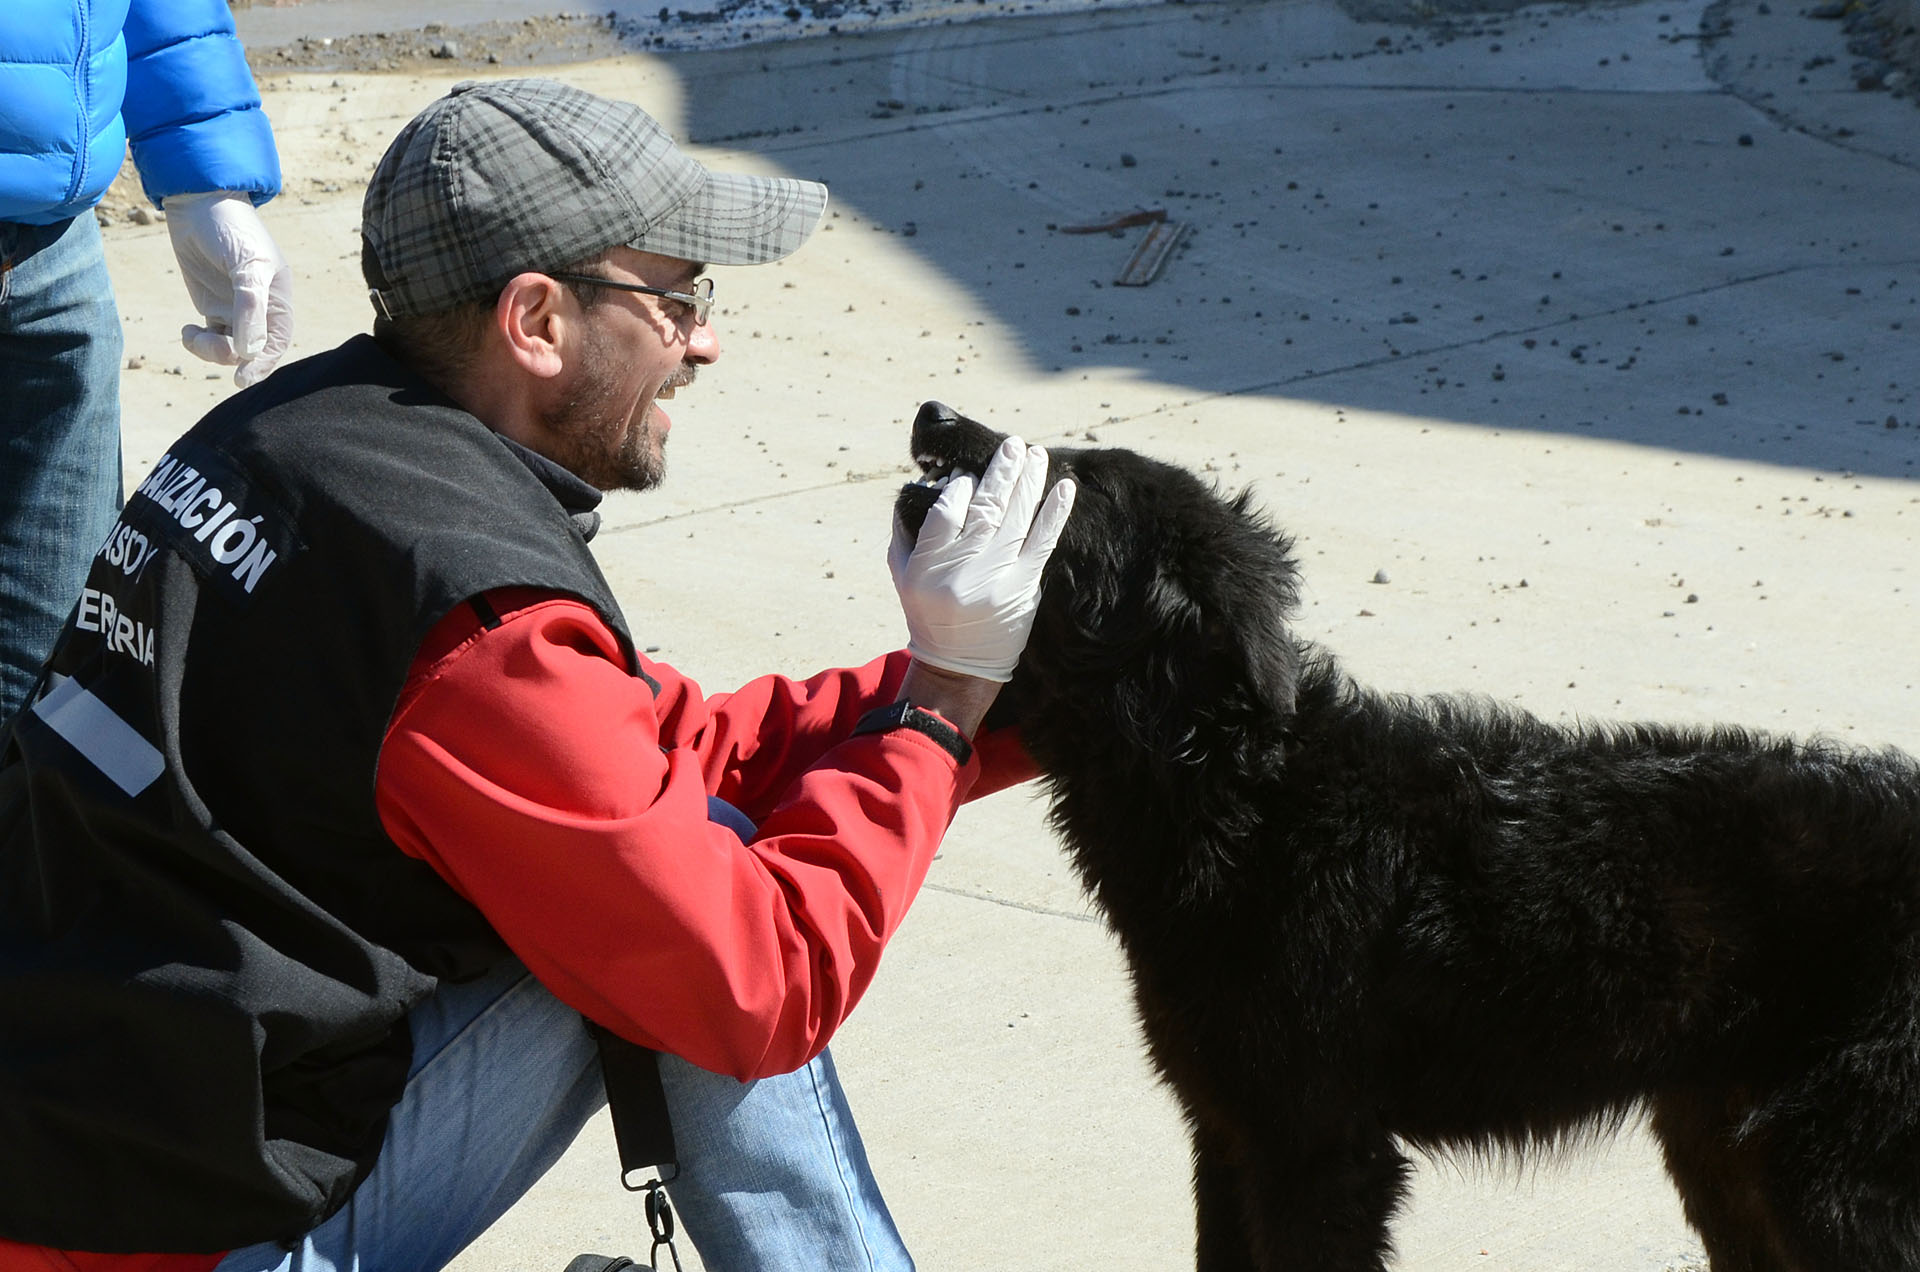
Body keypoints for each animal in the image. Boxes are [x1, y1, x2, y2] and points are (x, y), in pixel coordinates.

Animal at [902, 401, 1920, 1272]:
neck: (1241, 793)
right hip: (1727, 1147)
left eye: (1074, 480)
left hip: (1826, 1170)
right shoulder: (1227, 1132)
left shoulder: (1315, 1147)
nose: (932, 414)